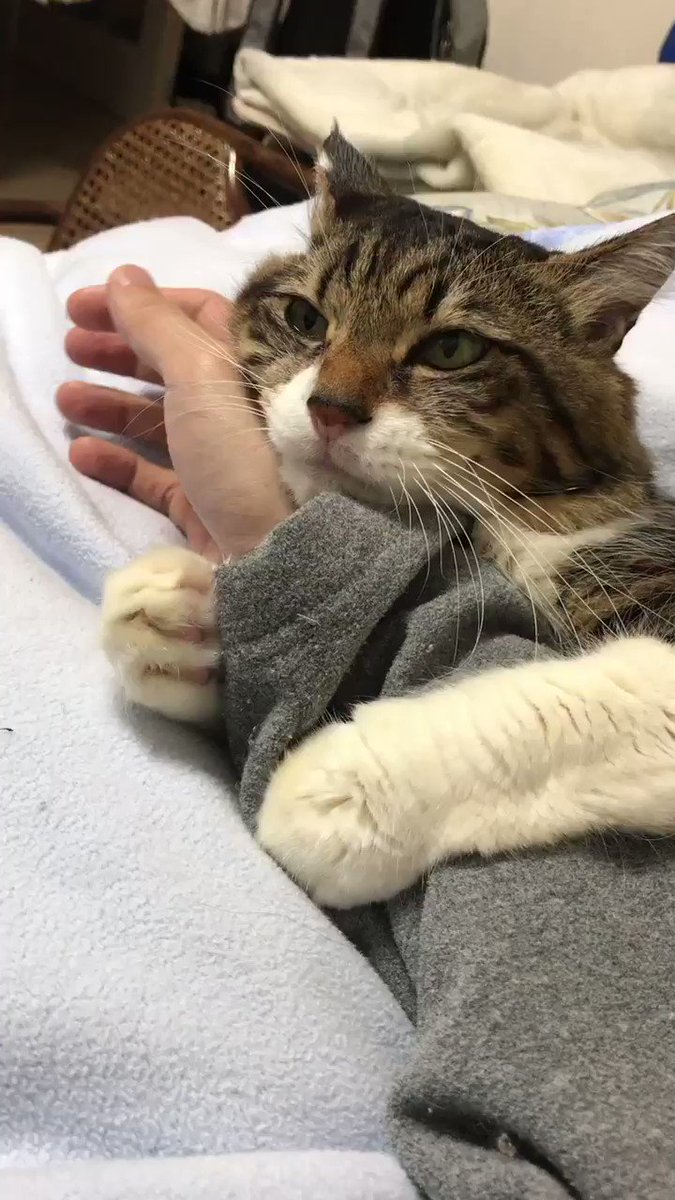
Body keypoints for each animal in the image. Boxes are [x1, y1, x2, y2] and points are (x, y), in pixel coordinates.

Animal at [102, 130, 675, 909]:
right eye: (306, 319)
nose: (330, 409)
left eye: (452, 350)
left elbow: (570, 706)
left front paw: (342, 790)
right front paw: (178, 617)